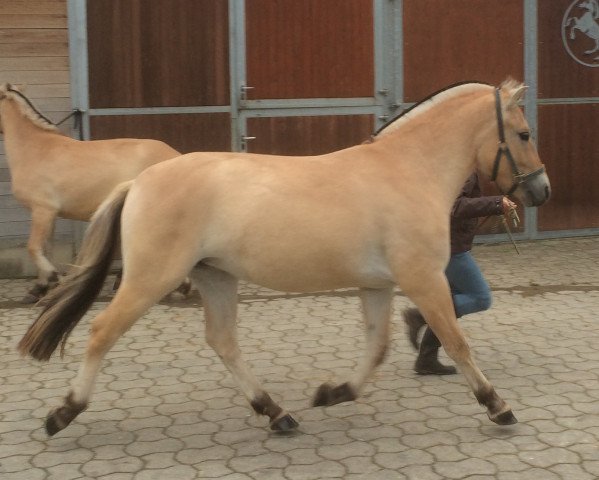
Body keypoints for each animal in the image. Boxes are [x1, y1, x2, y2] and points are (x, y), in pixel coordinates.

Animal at [0, 82, 183, 300]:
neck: (35, 149)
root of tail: (177, 155)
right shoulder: (49, 215)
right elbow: (46, 248)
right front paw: (40, 287)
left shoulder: (43, 210)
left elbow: (33, 247)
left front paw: (53, 278)